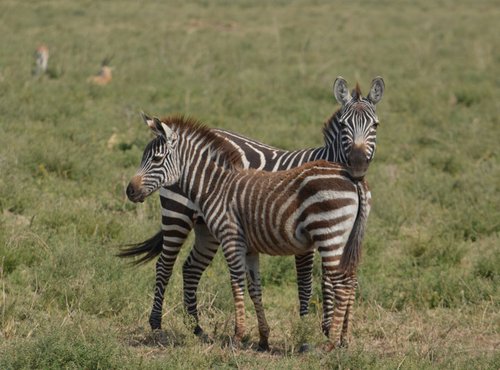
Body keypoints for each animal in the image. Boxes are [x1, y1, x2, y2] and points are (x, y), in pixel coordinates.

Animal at [119, 76, 384, 340]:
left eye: (375, 126)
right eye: (344, 125)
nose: (358, 165)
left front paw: (334, 331)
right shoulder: (306, 242)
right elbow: (308, 284)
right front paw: (314, 329)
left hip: (206, 229)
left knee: (191, 267)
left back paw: (196, 328)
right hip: (177, 215)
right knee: (164, 265)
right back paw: (157, 323)